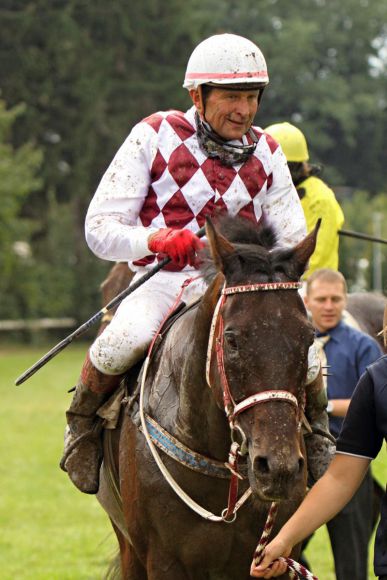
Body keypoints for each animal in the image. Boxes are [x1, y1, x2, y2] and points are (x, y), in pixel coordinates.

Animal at [95, 215, 320, 576]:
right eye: (231, 339)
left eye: (309, 337)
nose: (280, 468)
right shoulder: (163, 560)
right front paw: (174, 241)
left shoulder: (278, 556)